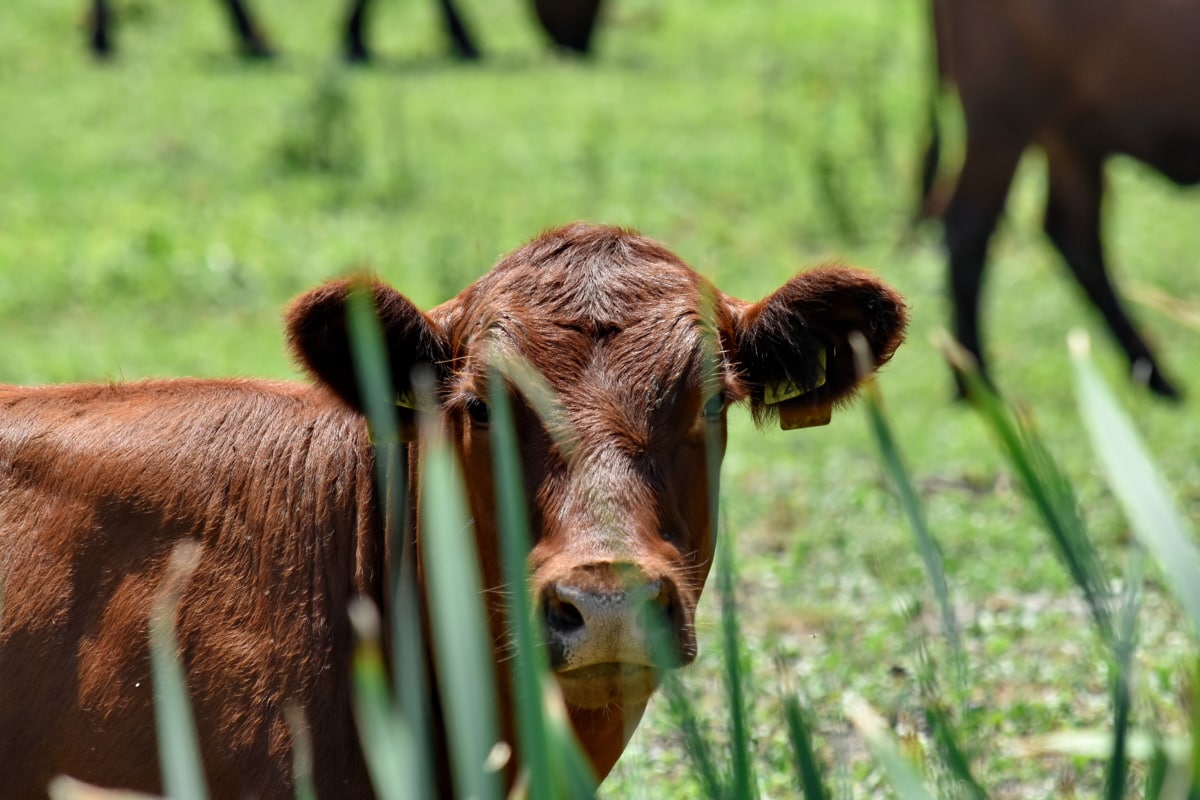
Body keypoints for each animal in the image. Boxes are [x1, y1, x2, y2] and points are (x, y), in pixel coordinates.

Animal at [926, 0, 1200, 398]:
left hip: (1068, 135)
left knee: (1073, 234)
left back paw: (1154, 375)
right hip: (1002, 117)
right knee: (968, 227)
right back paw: (975, 381)